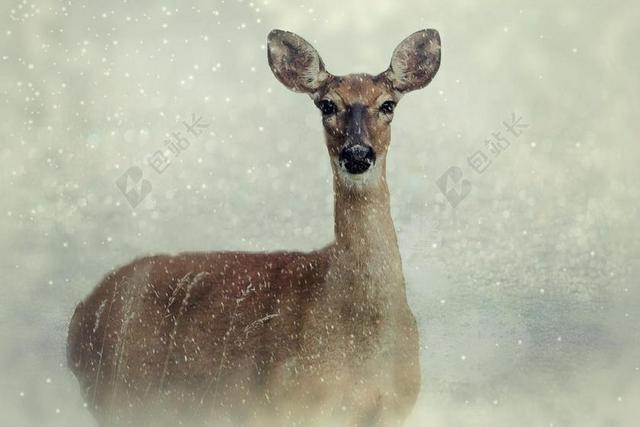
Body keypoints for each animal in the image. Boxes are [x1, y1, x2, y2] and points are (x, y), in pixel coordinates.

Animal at [67, 28, 442, 426]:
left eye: (388, 105)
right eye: (326, 105)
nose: (357, 154)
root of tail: (78, 317)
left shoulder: (394, 407)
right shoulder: (286, 402)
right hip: (119, 395)